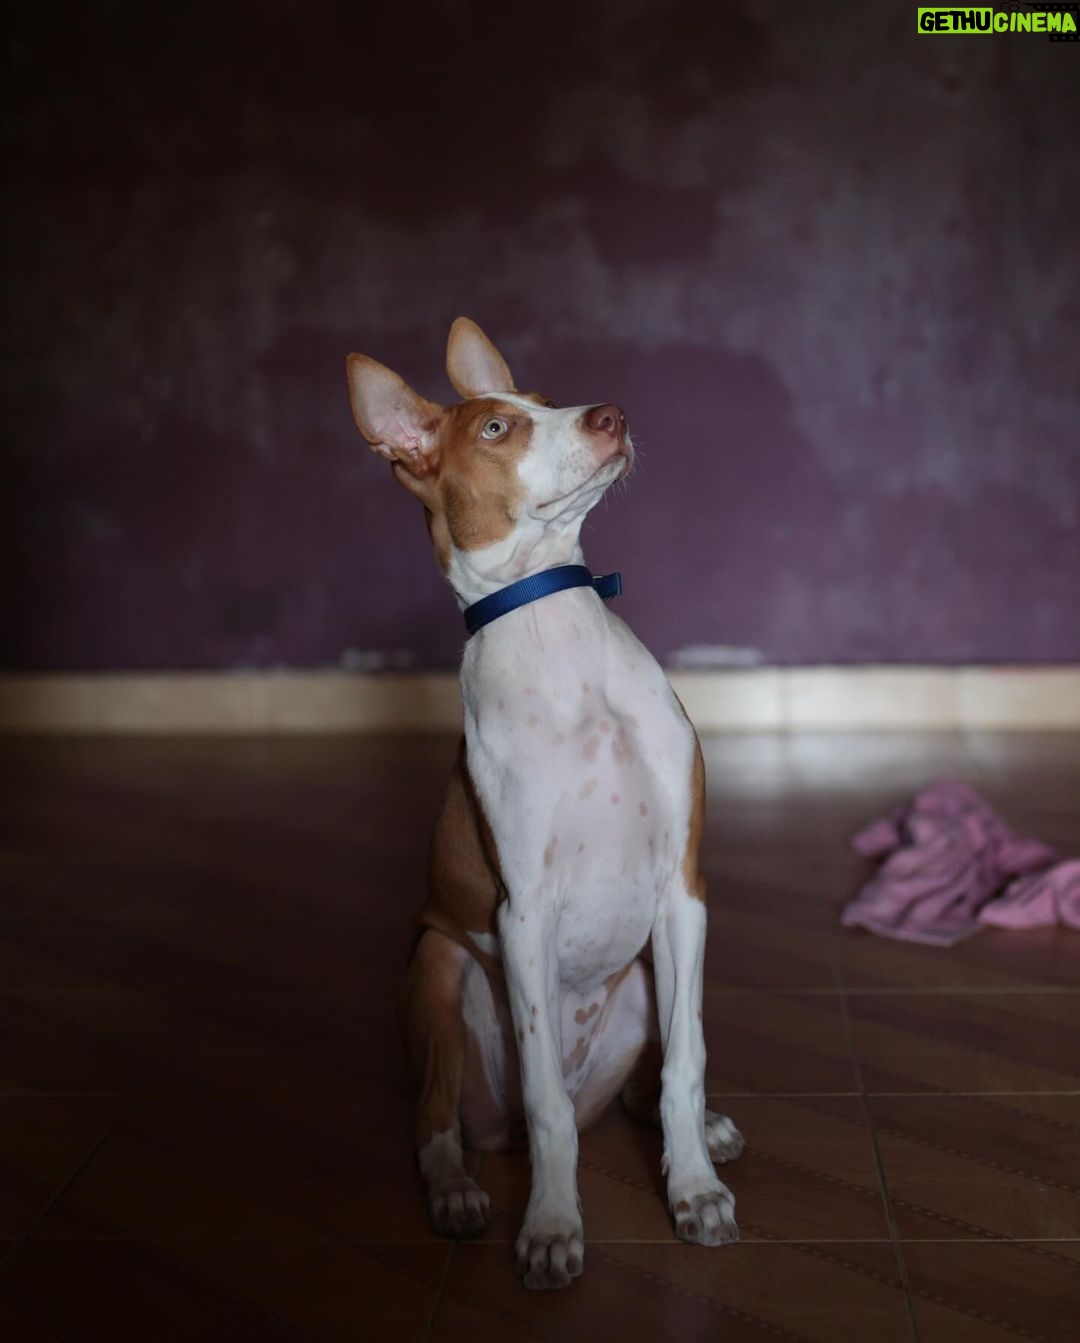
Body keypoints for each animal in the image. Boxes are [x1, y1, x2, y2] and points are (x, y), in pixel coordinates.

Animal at [346, 318, 742, 1290]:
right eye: (496, 429)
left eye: (548, 400)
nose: (613, 413)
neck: (555, 627)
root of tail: (497, 1139)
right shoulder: (520, 913)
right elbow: (548, 1102)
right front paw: (555, 1226)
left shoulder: (683, 888)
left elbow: (686, 1063)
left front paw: (694, 1188)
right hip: (437, 965)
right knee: (438, 1120)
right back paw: (458, 1189)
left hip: (642, 978)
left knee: (641, 1084)